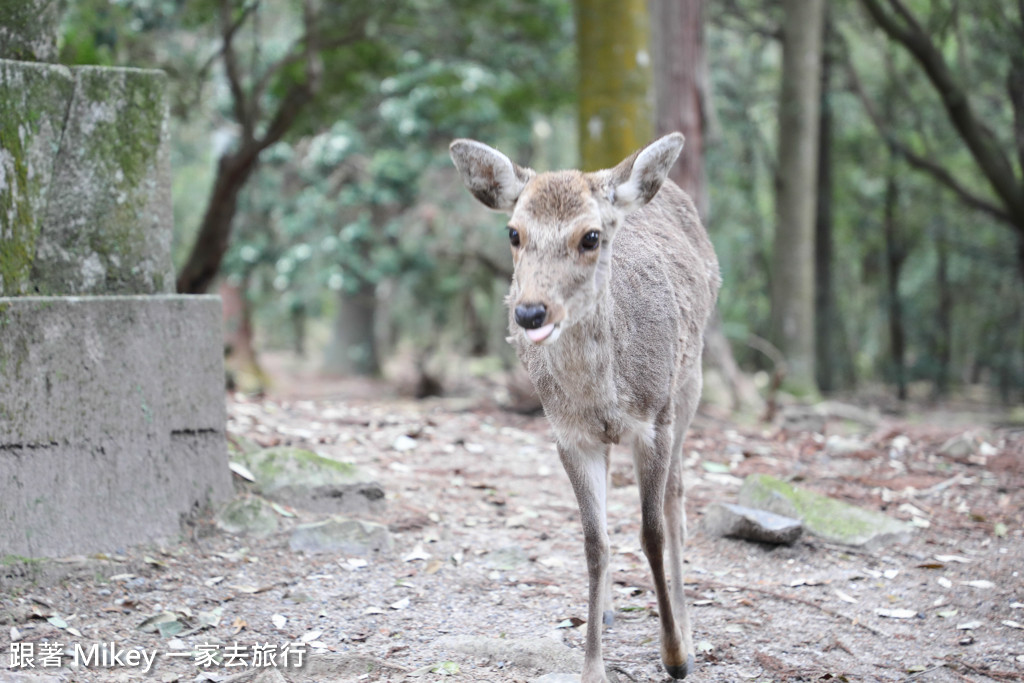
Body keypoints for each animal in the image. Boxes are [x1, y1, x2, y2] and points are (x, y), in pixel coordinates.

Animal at [448, 135, 720, 683]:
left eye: (591, 236)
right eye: (514, 232)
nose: (530, 311)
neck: (605, 394)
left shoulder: (653, 421)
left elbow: (652, 533)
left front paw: (675, 656)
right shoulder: (569, 435)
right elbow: (594, 543)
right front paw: (593, 666)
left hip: (690, 384)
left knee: (678, 501)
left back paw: (689, 633)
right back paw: (613, 609)